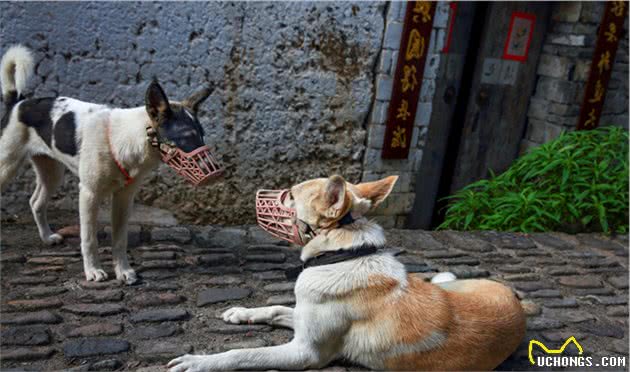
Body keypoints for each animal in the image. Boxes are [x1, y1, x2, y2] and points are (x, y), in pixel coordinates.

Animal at [0, 45, 221, 284]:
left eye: (202, 135)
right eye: (187, 136)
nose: (216, 174)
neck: (124, 139)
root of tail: (18, 102)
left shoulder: (124, 198)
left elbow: (120, 240)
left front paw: (122, 271)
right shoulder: (88, 194)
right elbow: (89, 239)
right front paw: (93, 271)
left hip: (52, 172)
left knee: (36, 202)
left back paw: (47, 237)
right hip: (7, 167)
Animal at [169, 175, 528, 372]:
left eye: (290, 195)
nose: (255, 193)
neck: (341, 254)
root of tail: (518, 302)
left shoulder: (306, 352)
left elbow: (243, 354)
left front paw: (199, 361)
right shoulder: (302, 318)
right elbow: (275, 308)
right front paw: (241, 312)